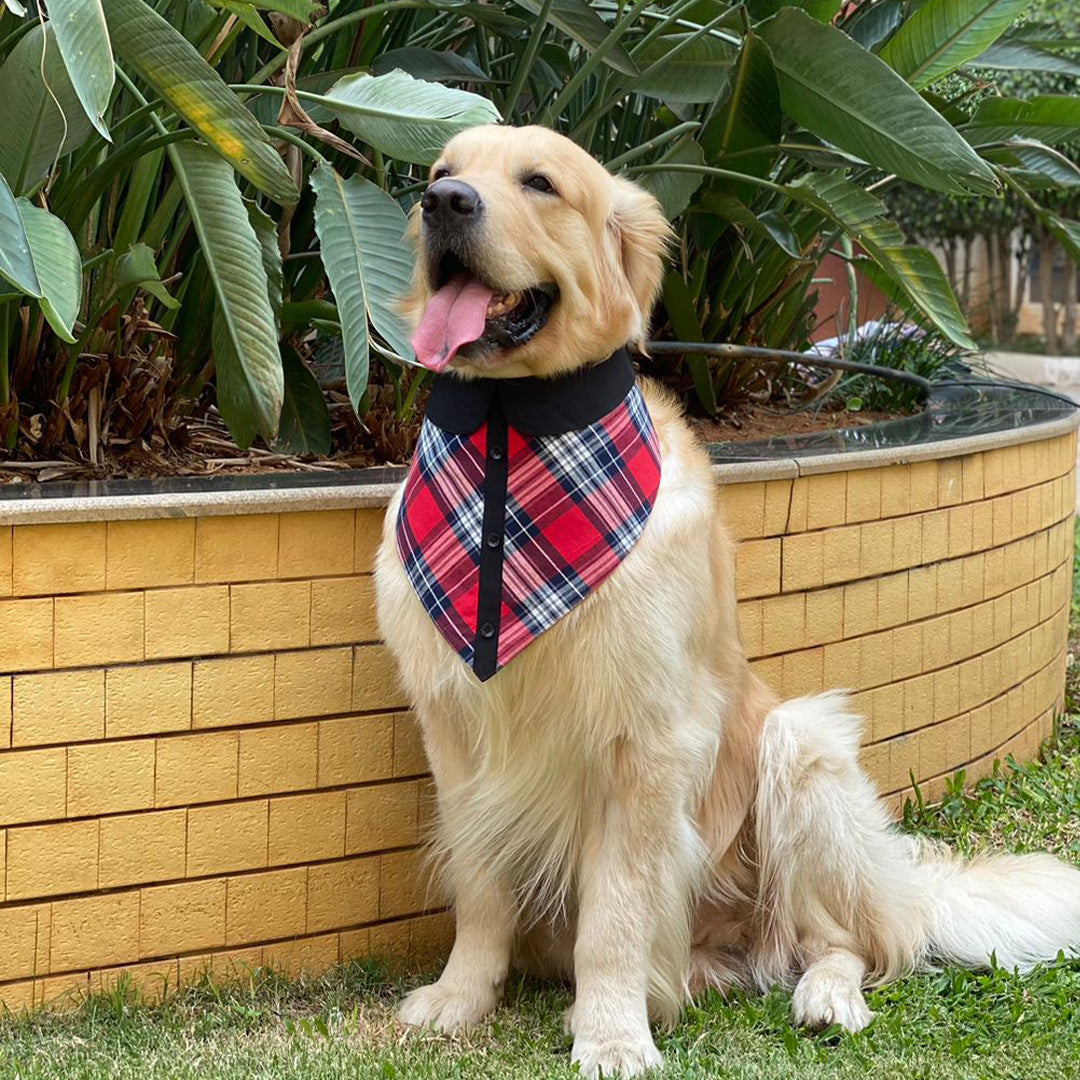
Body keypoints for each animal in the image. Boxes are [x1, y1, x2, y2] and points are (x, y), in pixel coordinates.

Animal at [373, 124, 1080, 1071]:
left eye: (541, 183)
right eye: (444, 172)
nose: (444, 204)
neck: (507, 439)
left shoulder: (646, 742)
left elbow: (616, 915)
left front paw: (612, 1035)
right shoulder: (456, 732)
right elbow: (481, 886)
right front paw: (461, 998)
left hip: (799, 749)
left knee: (847, 943)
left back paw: (822, 998)